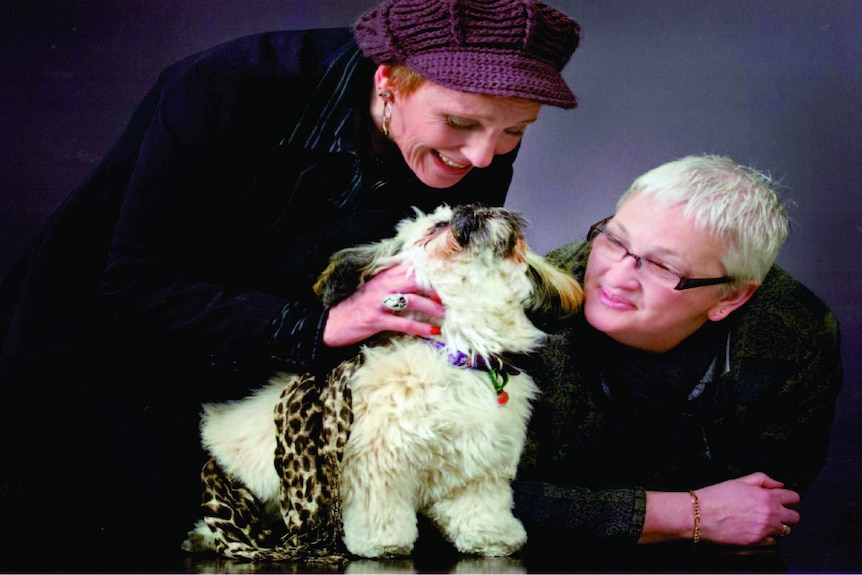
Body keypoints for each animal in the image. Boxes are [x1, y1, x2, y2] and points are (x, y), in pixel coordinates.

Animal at [186, 205, 584, 560]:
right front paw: (383, 544)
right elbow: (379, 509)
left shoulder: (478, 469)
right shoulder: (377, 461)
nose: (476, 209)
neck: (457, 350)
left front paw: (491, 538)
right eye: (438, 226)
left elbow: (479, 509)